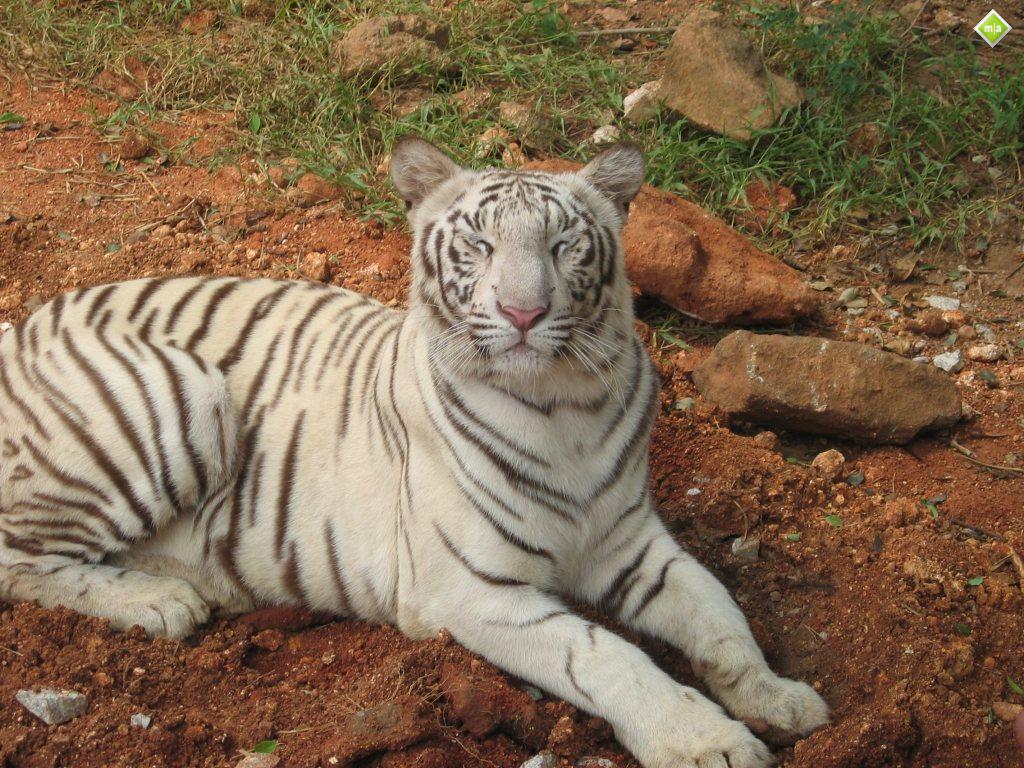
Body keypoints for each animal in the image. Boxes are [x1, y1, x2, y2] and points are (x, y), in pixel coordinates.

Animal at [0, 138, 828, 768]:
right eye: (480, 244)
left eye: (564, 245)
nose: (523, 313)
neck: (566, 406)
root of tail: (22, 325)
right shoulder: (471, 590)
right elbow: (605, 656)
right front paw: (702, 741)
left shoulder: (629, 541)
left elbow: (718, 614)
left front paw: (777, 699)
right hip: (182, 395)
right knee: (20, 560)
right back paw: (159, 600)